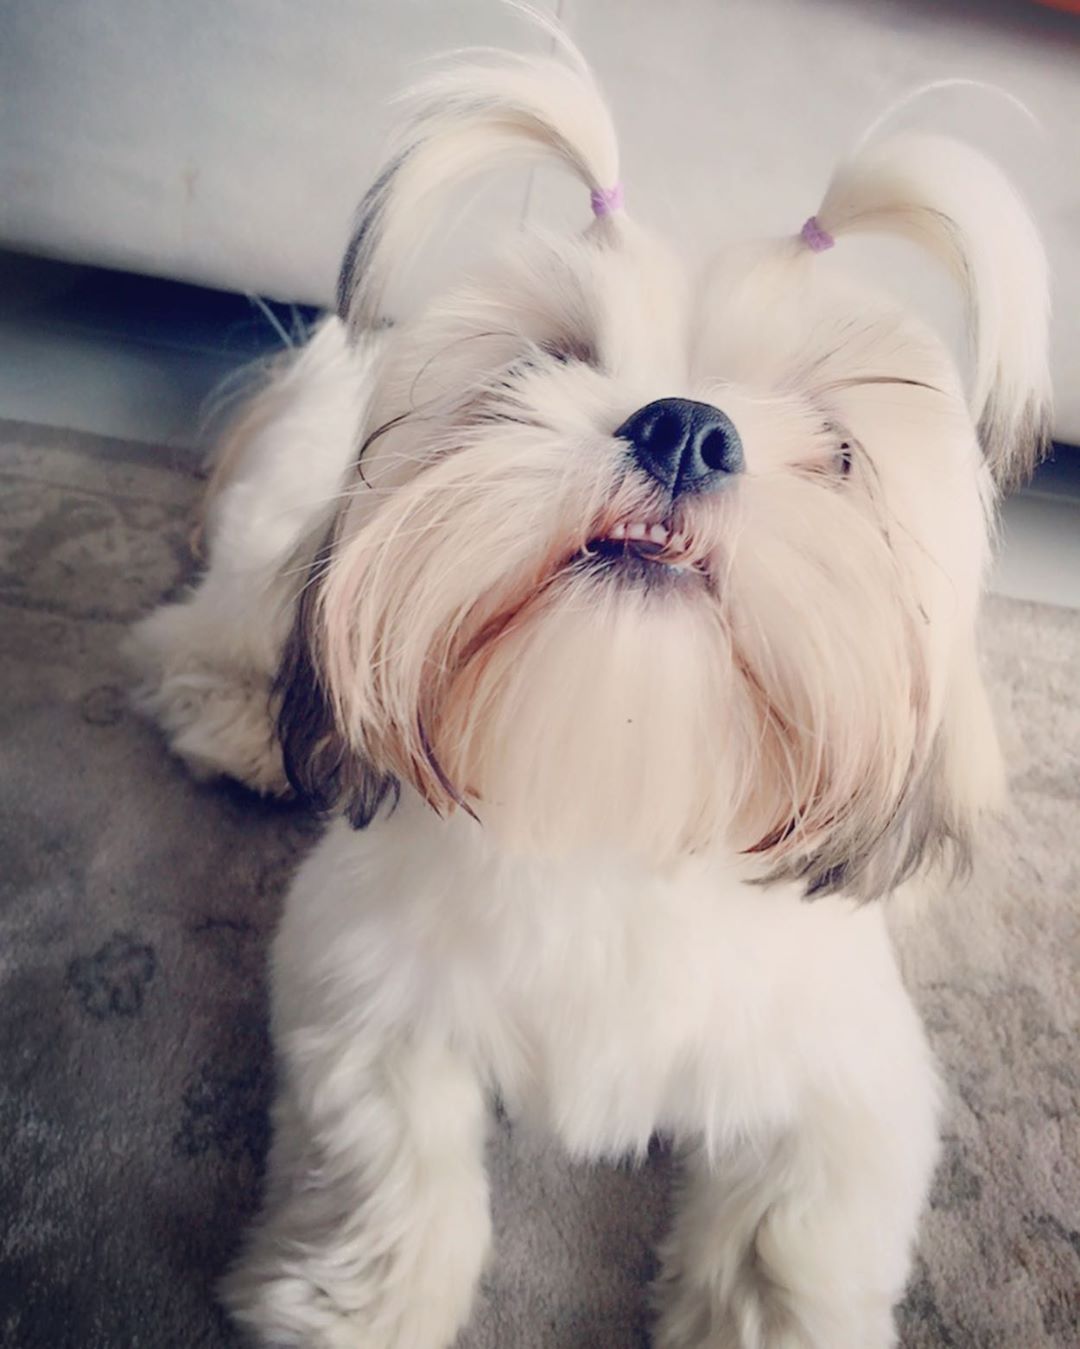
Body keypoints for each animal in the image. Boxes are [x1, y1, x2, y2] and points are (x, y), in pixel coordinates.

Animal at [128, 29, 1046, 1349]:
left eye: (841, 447)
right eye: (538, 366)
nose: (683, 427)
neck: (614, 779)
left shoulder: (853, 1075)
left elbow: (801, 1225)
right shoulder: (356, 983)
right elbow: (383, 1148)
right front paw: (358, 1301)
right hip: (269, 554)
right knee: (215, 619)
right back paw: (235, 711)